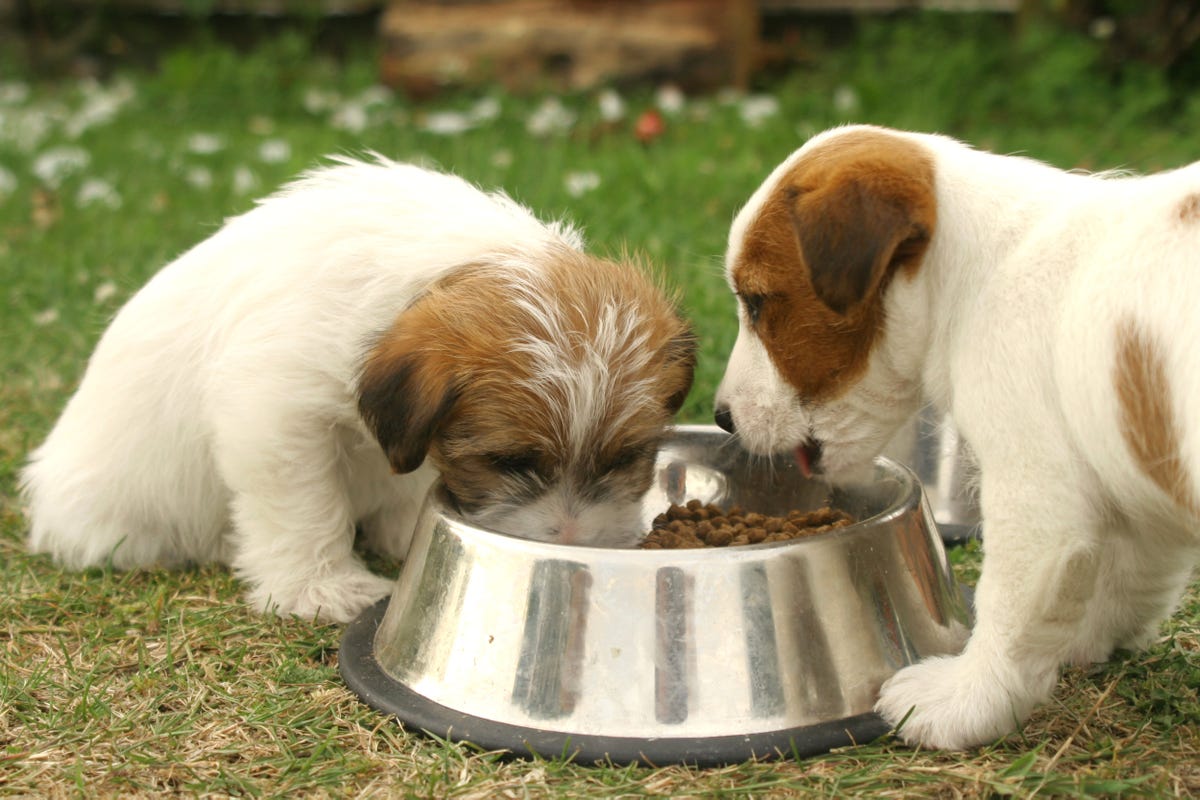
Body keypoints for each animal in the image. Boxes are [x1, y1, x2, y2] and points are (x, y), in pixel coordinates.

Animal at [23, 153, 696, 623]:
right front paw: (322, 589)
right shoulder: (274, 417)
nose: (577, 540)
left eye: (629, 457)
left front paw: (404, 535)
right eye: (507, 462)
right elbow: (304, 508)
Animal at [710, 125, 1200, 753]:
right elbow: (1129, 576)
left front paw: (965, 700)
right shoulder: (1130, 470)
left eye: (756, 302)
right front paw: (1084, 640)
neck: (972, 274)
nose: (721, 416)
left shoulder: (1035, 498)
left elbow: (1010, 611)